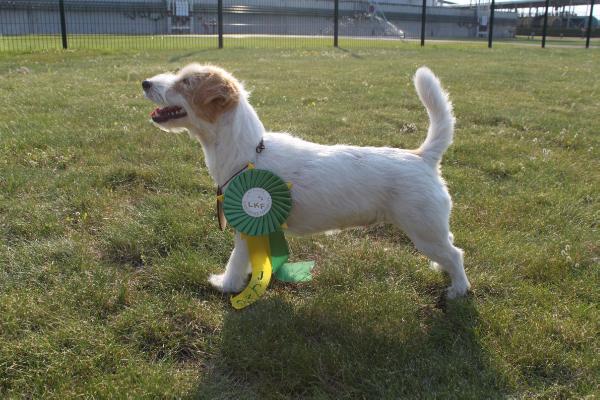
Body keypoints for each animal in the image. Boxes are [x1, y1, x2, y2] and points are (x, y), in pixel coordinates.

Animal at [143, 64, 472, 298]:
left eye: (186, 82)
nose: (145, 83)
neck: (248, 152)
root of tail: (423, 157)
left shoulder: (246, 228)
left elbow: (235, 261)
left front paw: (226, 284)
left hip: (424, 232)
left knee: (456, 255)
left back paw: (458, 290)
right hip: (431, 229)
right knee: (451, 245)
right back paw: (442, 270)